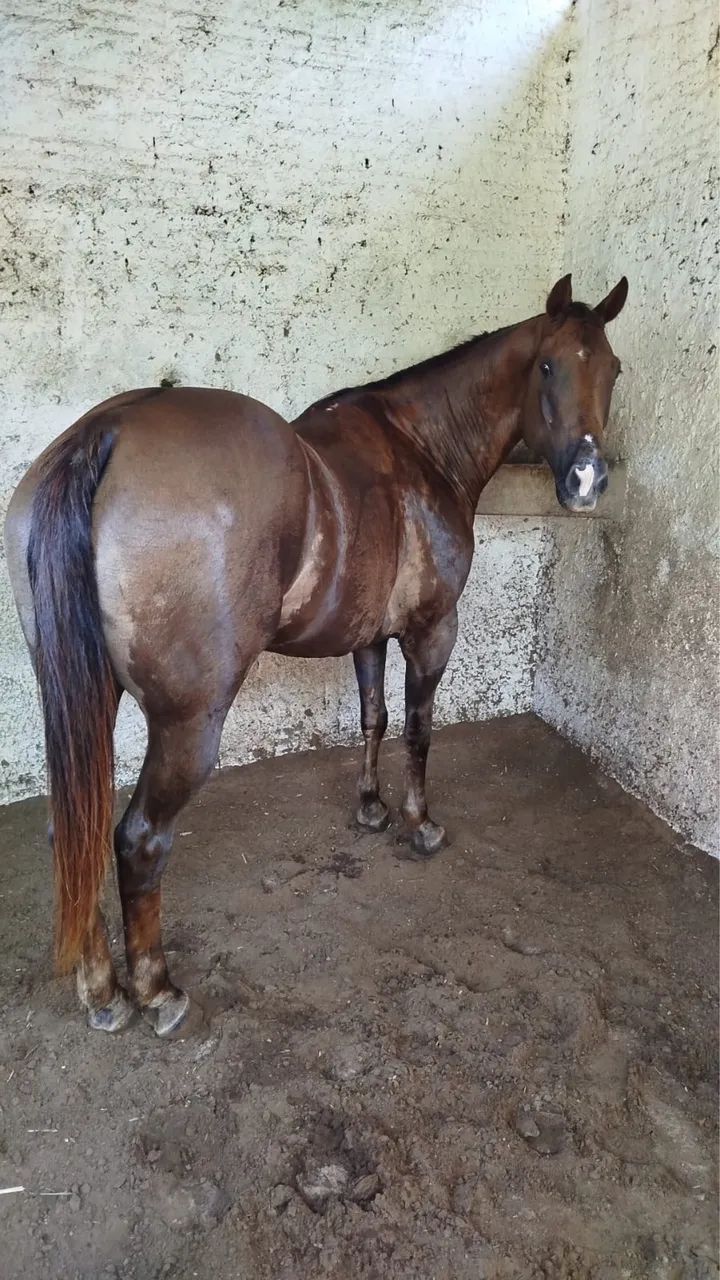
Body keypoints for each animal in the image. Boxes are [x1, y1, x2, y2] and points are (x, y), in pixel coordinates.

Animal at [4, 272, 627, 1036]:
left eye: (613, 369)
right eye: (546, 366)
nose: (587, 482)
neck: (420, 447)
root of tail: (108, 430)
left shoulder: (369, 638)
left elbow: (374, 718)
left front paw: (370, 808)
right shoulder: (431, 631)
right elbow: (418, 729)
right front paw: (418, 824)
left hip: (83, 702)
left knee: (77, 834)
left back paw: (102, 993)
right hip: (187, 722)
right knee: (139, 841)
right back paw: (155, 989)